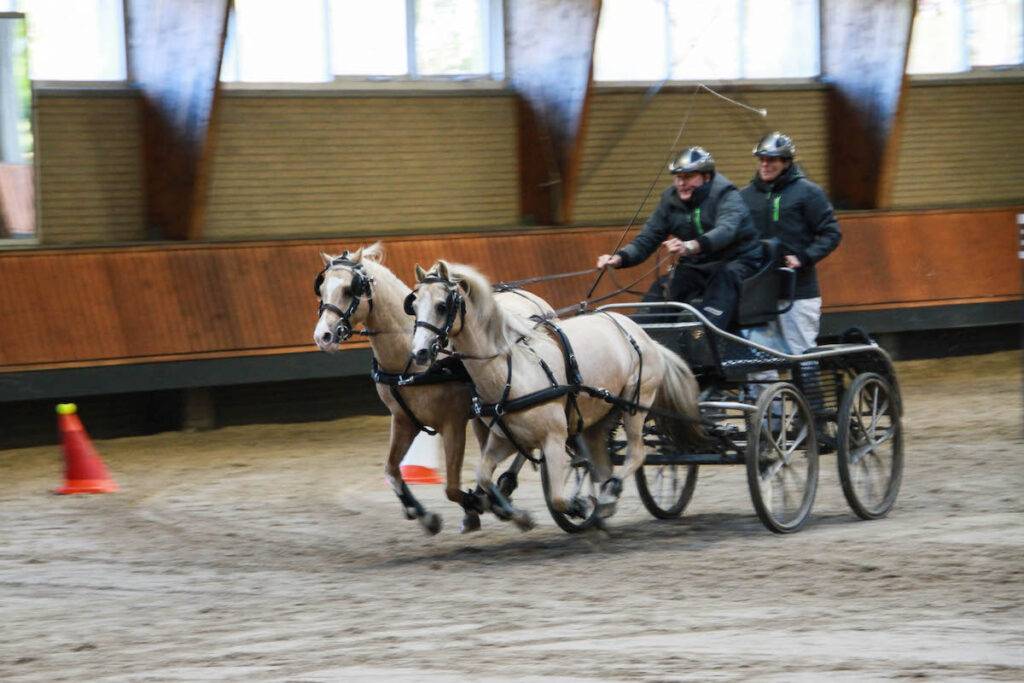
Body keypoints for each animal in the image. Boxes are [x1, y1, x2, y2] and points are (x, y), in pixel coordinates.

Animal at [312, 243, 555, 535]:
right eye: (321, 288)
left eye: (350, 290)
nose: (322, 336)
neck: (409, 360)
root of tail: (536, 301)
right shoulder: (403, 420)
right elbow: (391, 470)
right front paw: (424, 515)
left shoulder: (453, 423)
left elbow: (451, 488)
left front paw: (480, 505)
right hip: (485, 415)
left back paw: (504, 489)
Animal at [407, 260, 705, 530]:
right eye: (414, 304)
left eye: (441, 306)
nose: (419, 352)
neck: (512, 370)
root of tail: (642, 334)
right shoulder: (505, 440)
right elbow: (483, 476)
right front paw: (508, 509)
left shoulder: (554, 439)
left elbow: (559, 498)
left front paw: (578, 505)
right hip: (597, 419)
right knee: (601, 463)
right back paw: (604, 504)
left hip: (636, 405)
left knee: (636, 455)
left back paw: (609, 495)